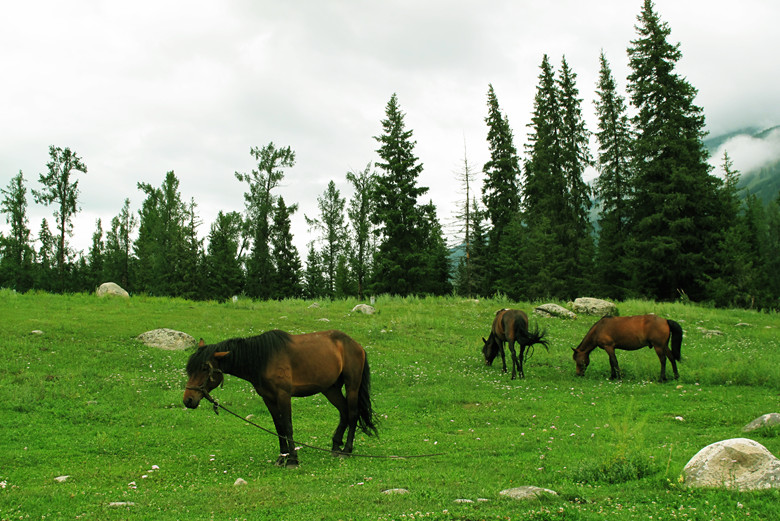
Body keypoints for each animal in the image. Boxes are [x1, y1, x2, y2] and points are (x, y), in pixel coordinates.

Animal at [183, 330, 378, 468]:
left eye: (204, 368)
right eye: (189, 368)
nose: (188, 400)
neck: (263, 359)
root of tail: (356, 345)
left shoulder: (283, 395)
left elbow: (288, 427)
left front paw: (292, 460)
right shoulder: (268, 398)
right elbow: (279, 428)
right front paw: (281, 458)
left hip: (352, 386)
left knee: (352, 414)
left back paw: (347, 450)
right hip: (330, 389)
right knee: (344, 412)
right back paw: (336, 447)